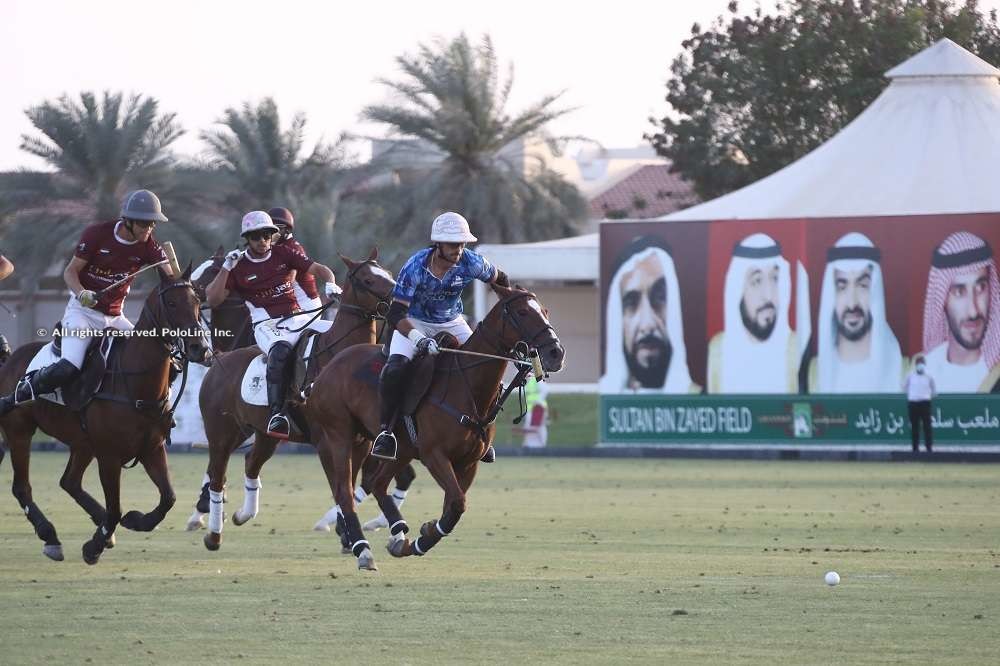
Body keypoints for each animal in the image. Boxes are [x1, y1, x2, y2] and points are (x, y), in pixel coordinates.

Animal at [0, 268, 207, 564]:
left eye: (198, 301)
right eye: (171, 303)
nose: (199, 347)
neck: (136, 386)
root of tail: (9, 360)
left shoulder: (152, 448)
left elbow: (168, 497)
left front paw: (135, 521)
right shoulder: (109, 455)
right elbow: (116, 507)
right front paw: (93, 546)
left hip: (82, 442)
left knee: (70, 482)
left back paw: (101, 528)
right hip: (20, 431)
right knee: (22, 487)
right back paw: (51, 536)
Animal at [193, 246, 396, 548]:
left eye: (389, 274)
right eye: (368, 280)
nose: (400, 299)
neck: (336, 355)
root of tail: (220, 360)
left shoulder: (361, 442)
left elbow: (347, 486)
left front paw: (346, 533)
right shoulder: (326, 441)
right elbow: (340, 488)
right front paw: (350, 536)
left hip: (263, 433)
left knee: (251, 463)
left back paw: (243, 515)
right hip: (221, 433)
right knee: (218, 478)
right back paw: (214, 535)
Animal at [306, 282, 564, 568]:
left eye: (545, 310)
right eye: (522, 312)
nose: (556, 353)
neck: (468, 387)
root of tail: (326, 369)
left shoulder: (468, 462)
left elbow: (453, 505)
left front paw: (418, 539)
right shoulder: (434, 455)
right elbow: (457, 503)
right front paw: (423, 537)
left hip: (386, 445)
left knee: (378, 483)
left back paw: (397, 534)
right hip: (339, 434)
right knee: (344, 491)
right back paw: (363, 549)